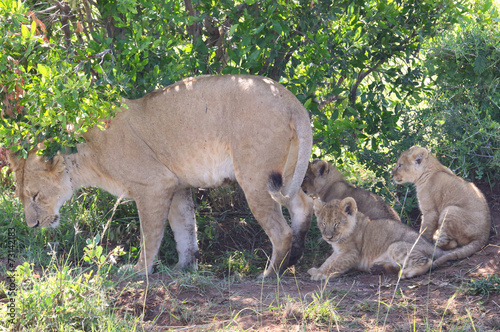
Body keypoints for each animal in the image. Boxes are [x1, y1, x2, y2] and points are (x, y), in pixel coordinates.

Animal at [7, 75, 312, 278]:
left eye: (35, 195)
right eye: (21, 197)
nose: (32, 225)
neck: (85, 154)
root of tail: (290, 100)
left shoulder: (153, 185)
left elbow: (150, 234)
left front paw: (139, 271)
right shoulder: (177, 186)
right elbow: (185, 230)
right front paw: (184, 267)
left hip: (255, 176)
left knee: (280, 231)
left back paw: (269, 274)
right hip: (285, 174)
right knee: (304, 206)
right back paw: (294, 258)